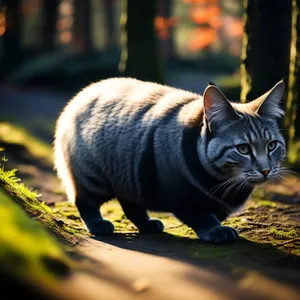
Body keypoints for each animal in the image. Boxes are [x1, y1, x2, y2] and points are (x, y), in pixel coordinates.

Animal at [54, 77, 286, 244]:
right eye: (243, 149)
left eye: (272, 145)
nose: (266, 170)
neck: (224, 182)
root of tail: (79, 97)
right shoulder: (181, 195)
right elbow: (202, 214)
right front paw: (216, 230)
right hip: (93, 178)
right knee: (84, 201)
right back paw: (98, 225)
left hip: (128, 175)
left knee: (130, 203)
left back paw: (147, 224)